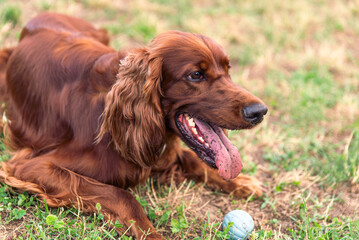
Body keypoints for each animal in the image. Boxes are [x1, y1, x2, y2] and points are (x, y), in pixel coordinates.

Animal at [0, 12, 268, 238]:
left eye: (227, 69)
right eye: (196, 75)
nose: (259, 111)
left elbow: (191, 158)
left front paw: (240, 181)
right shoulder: (31, 166)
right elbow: (121, 195)